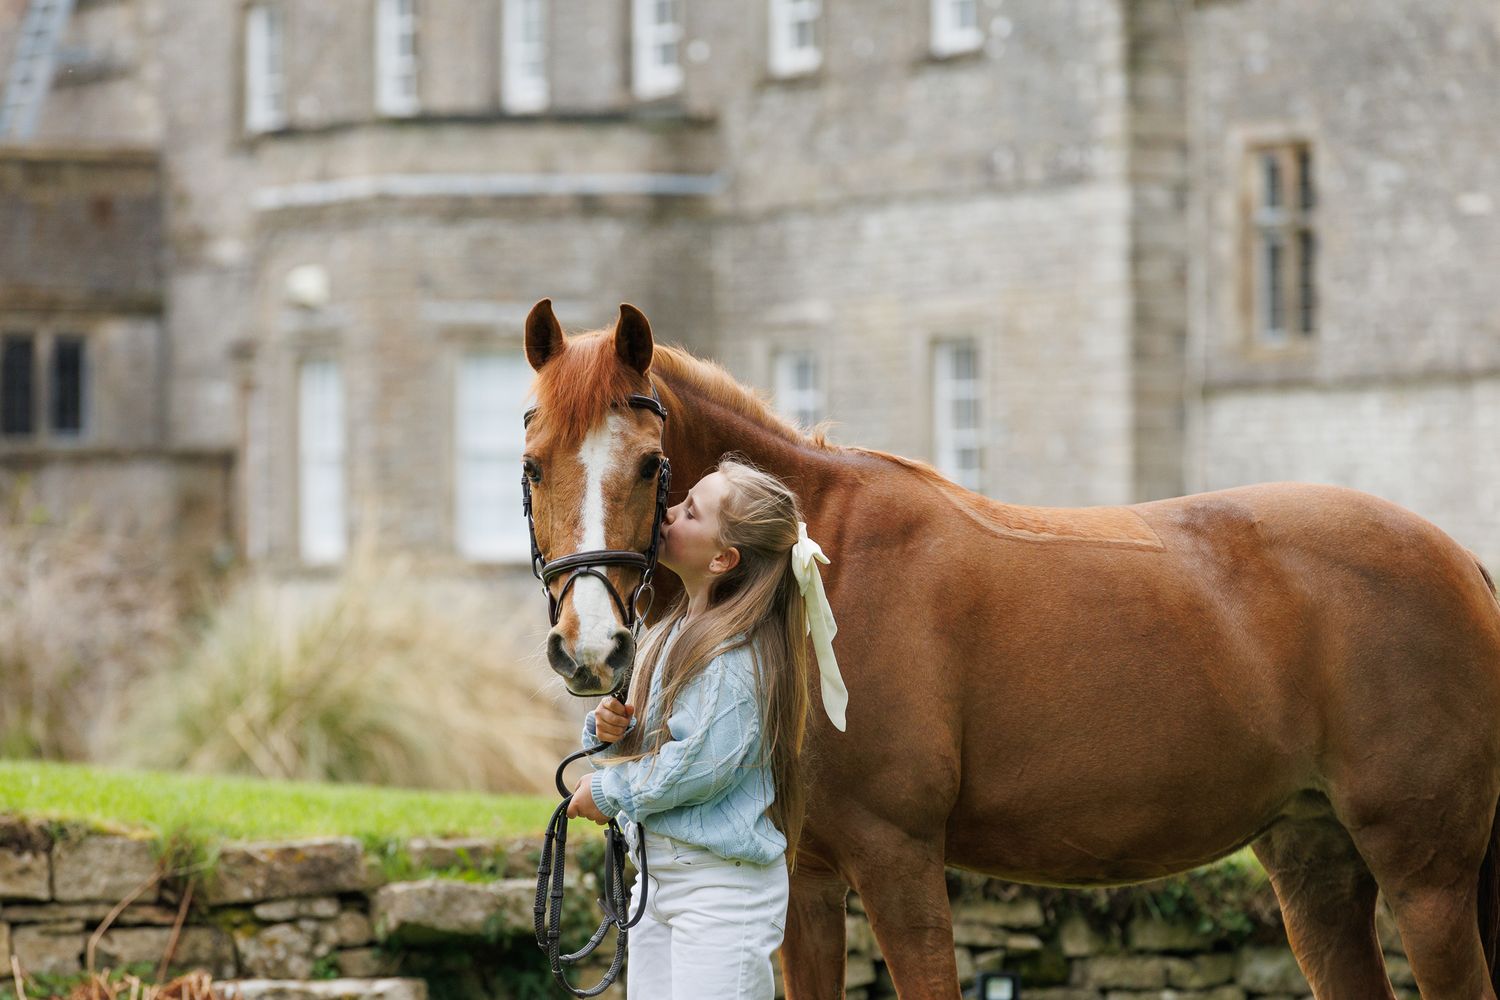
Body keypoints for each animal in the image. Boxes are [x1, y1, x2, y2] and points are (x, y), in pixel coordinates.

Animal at [519, 298, 1500, 999]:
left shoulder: (900, 859)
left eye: (651, 465)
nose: (590, 647)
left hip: (1426, 879)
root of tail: (1460, 562)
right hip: (1315, 864)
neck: (818, 560)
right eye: (531, 465)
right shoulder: (802, 878)